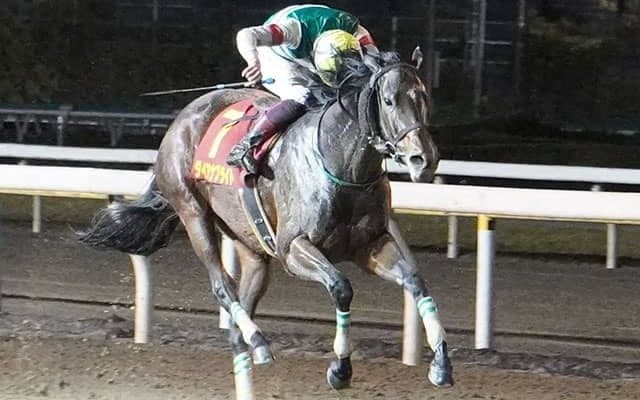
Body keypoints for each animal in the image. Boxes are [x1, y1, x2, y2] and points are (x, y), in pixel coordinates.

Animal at [79, 52, 453, 397]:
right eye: (389, 100)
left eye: (424, 96)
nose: (423, 159)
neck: (341, 161)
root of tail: (182, 118)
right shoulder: (293, 248)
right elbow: (341, 287)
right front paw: (340, 369)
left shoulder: (370, 244)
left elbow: (416, 281)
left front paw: (441, 365)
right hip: (192, 211)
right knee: (222, 286)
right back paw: (258, 340)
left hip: (250, 243)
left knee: (242, 302)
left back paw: (247, 349)